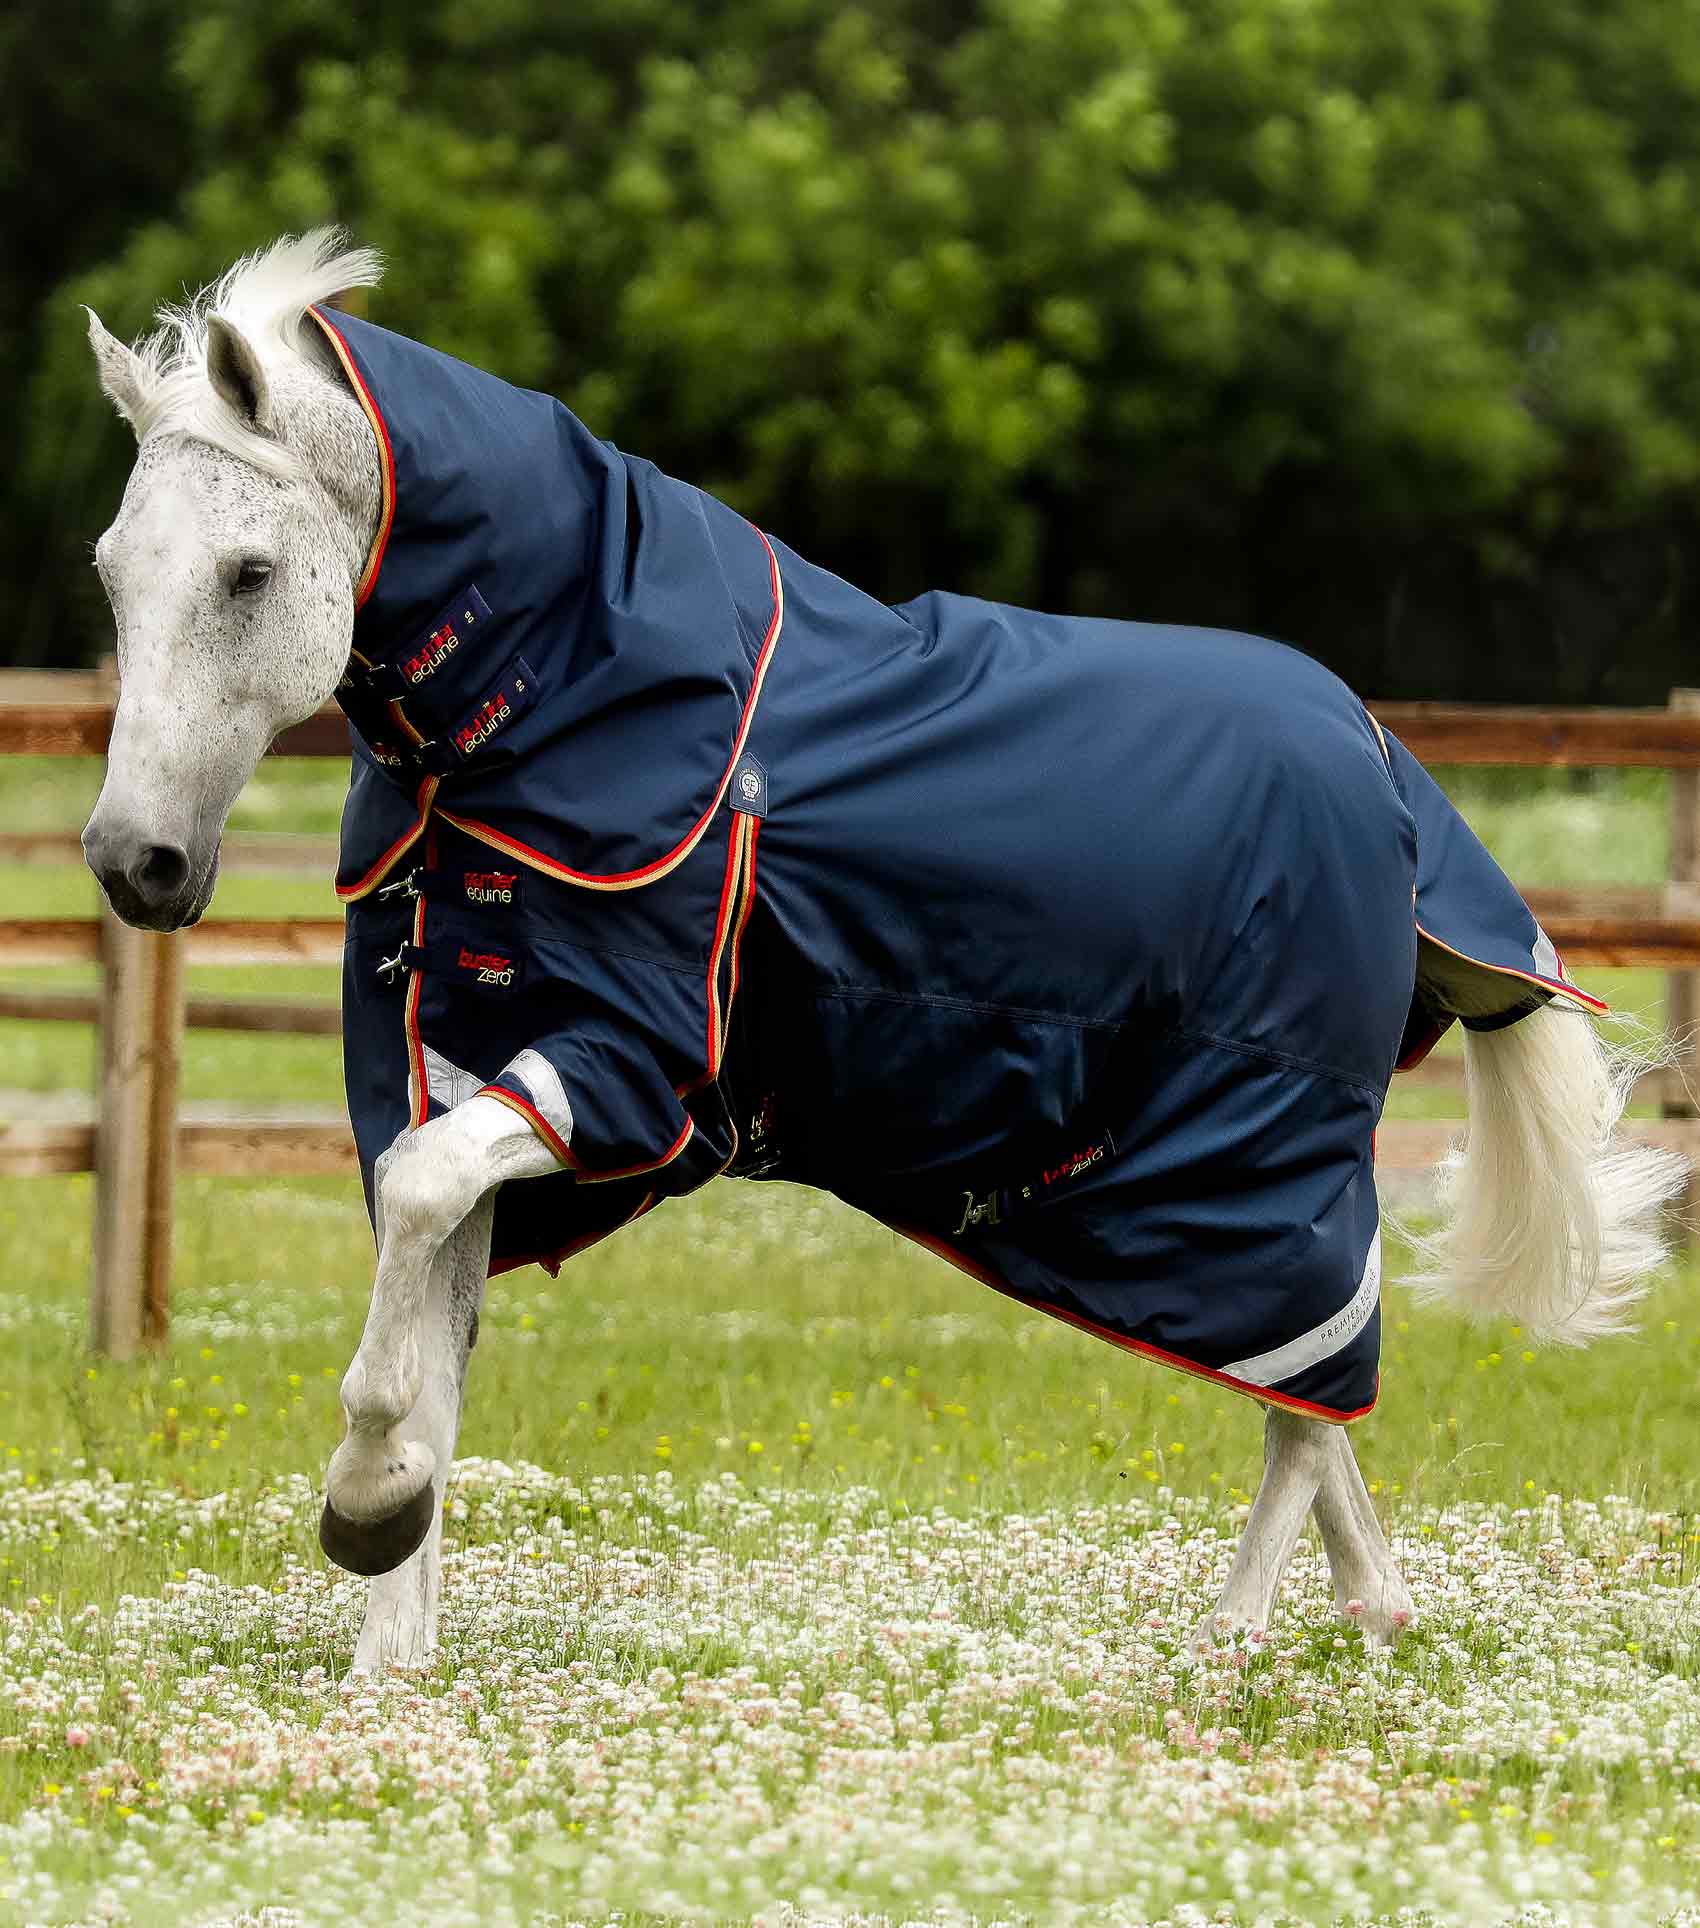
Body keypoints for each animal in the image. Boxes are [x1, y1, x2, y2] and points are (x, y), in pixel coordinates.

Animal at [81, 230, 1680, 1672]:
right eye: (111, 571)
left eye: (247, 571)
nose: (132, 861)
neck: (566, 698)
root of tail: (1384, 767)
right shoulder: (468, 1058)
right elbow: (430, 1320)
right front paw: (388, 1649)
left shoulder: (626, 1068)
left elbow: (417, 1223)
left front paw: (365, 1509)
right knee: (1316, 1400)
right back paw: (1372, 1612)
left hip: (1259, 1164)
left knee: (1307, 1401)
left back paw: (1226, 1637)